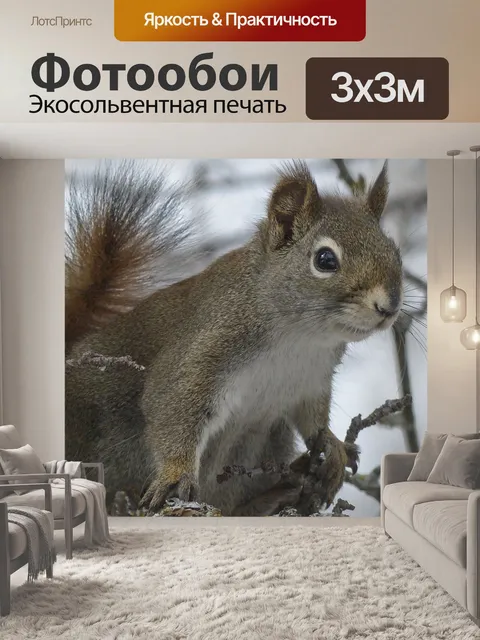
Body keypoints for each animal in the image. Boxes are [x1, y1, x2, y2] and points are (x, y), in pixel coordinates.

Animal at [65, 159, 403, 515]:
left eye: (394, 251)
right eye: (325, 260)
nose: (389, 307)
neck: (300, 338)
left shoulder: (311, 381)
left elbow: (313, 419)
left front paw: (333, 444)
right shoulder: (205, 349)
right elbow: (172, 404)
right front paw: (174, 475)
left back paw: (283, 490)